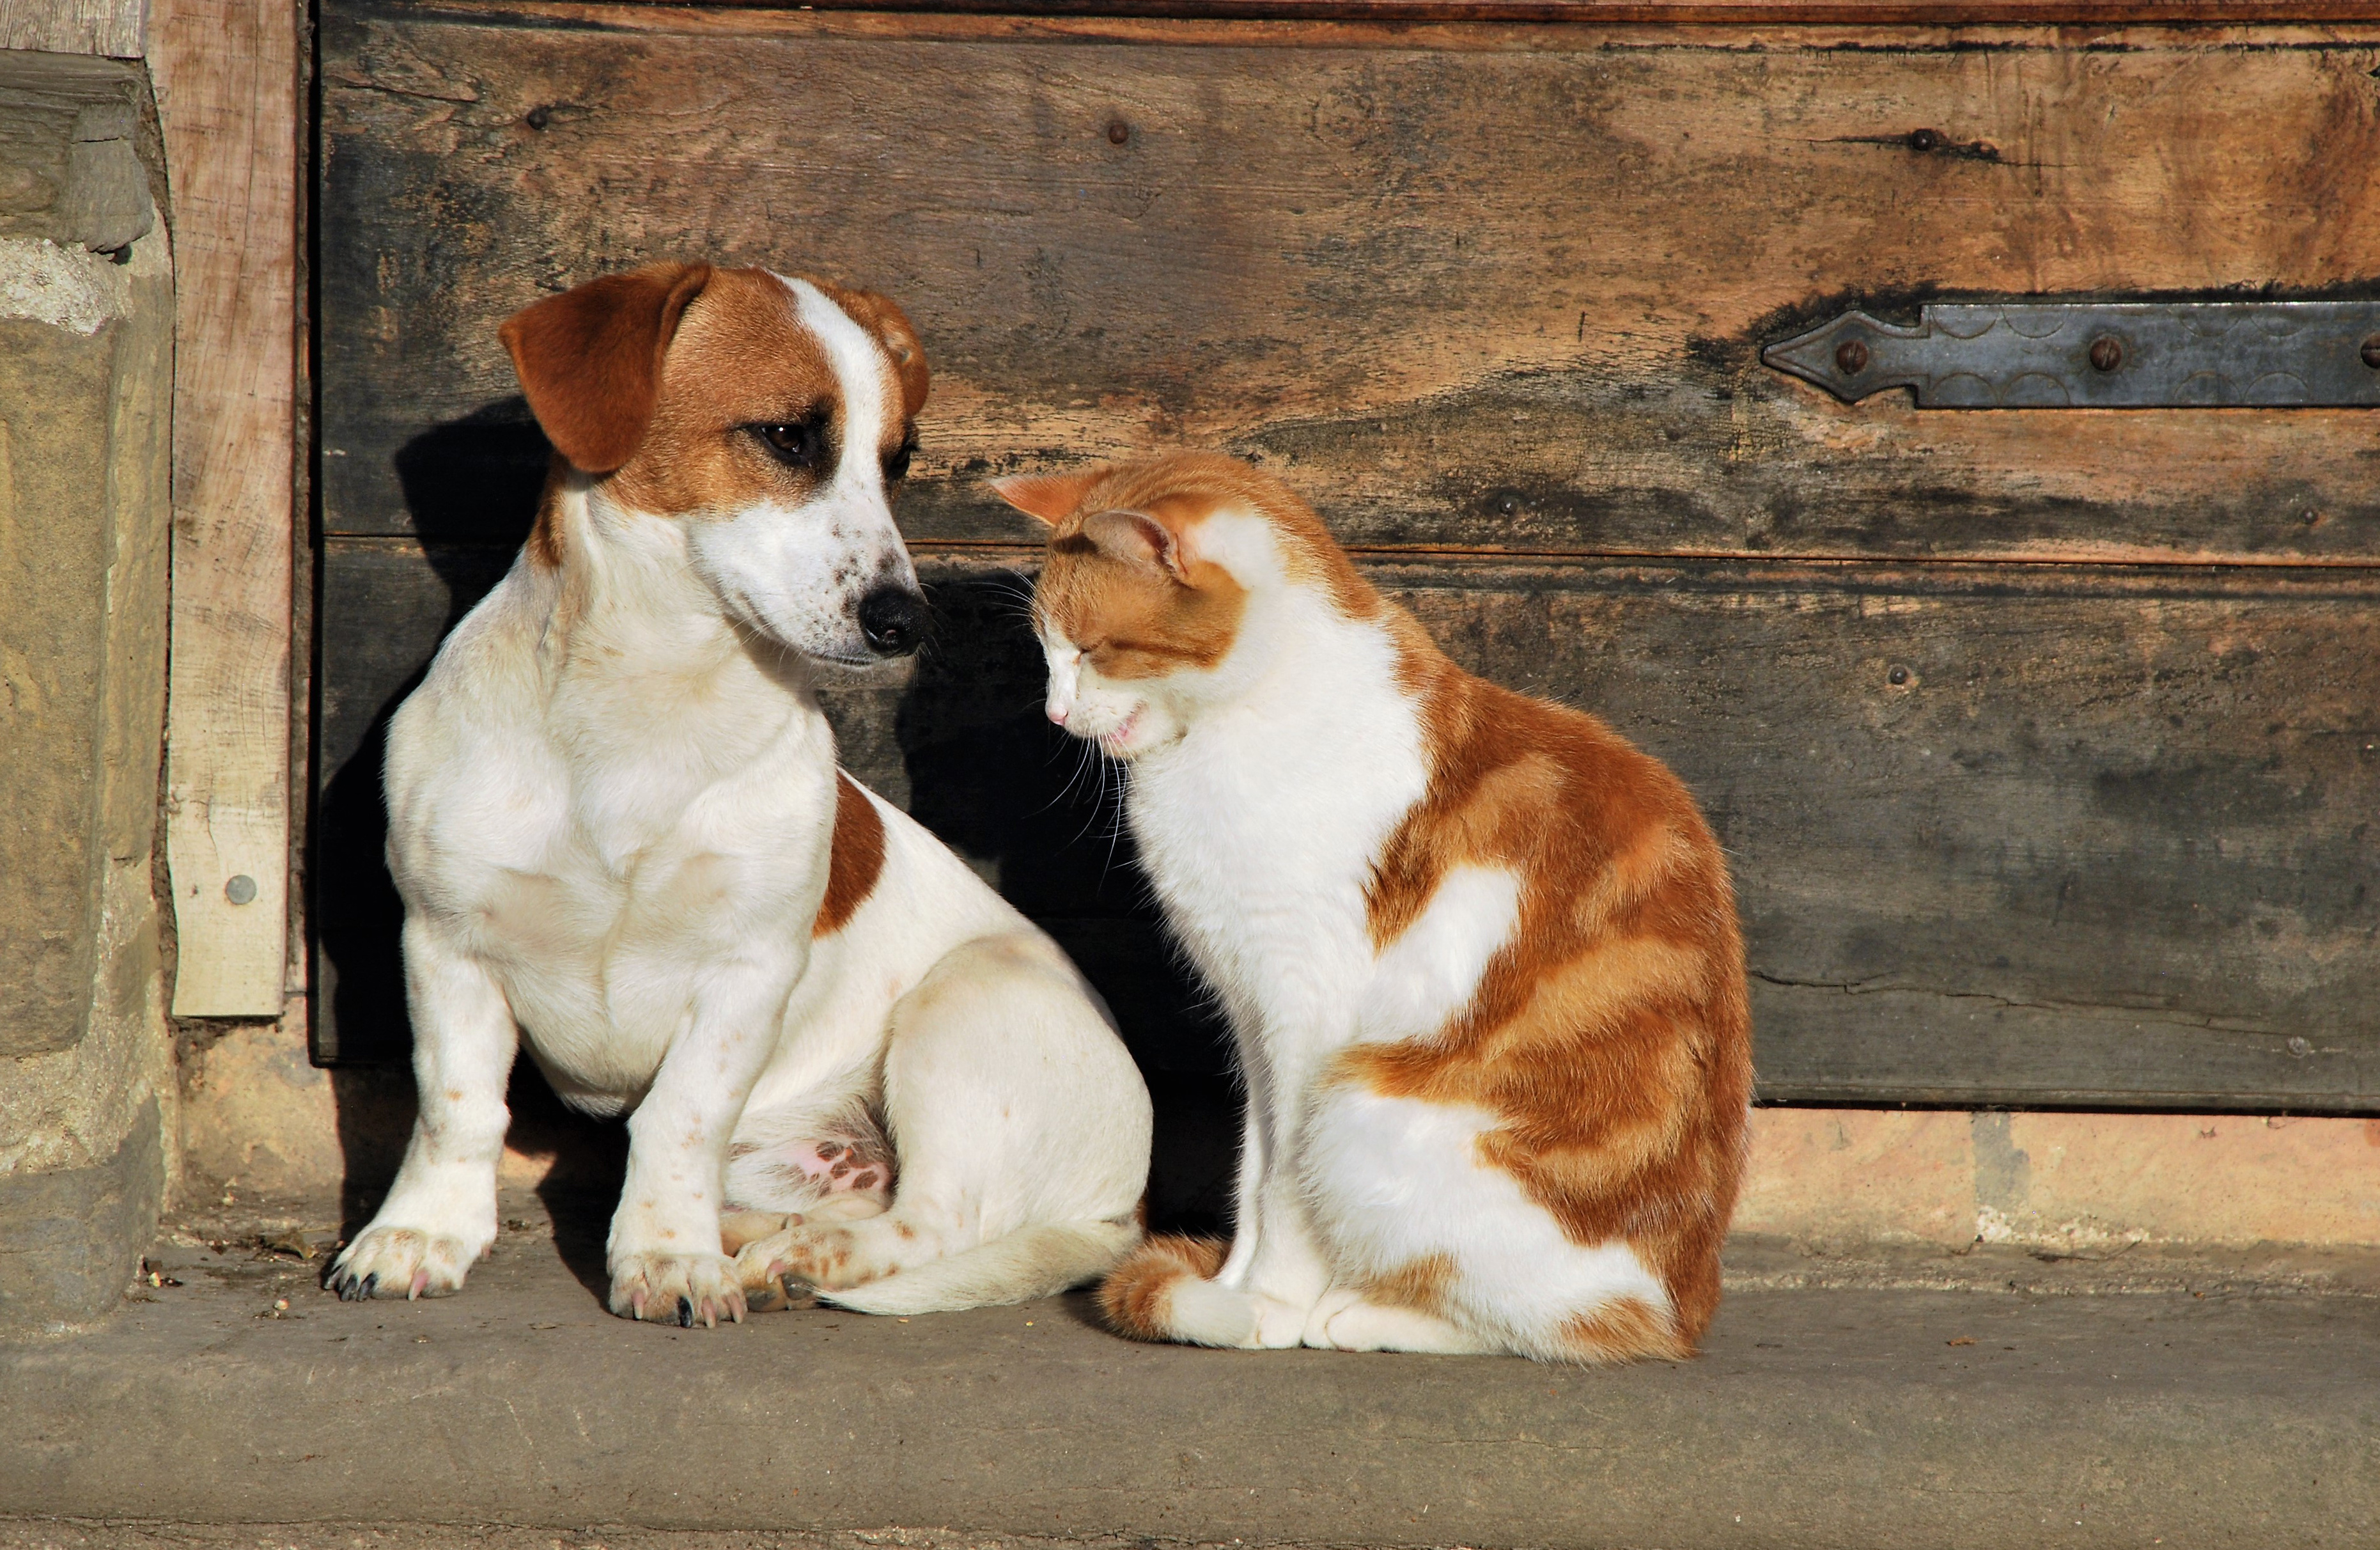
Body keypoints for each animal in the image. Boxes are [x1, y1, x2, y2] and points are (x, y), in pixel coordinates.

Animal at [323, 264, 1151, 1324]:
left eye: (897, 461)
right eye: (787, 436)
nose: (906, 621)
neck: (643, 707)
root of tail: (1123, 1210)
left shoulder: (745, 976)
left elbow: (678, 1116)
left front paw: (668, 1257)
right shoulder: (446, 944)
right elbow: (456, 1106)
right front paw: (424, 1233)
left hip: (959, 1013)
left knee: (934, 1223)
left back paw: (797, 1258)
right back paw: (760, 1239)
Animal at [995, 455, 1761, 1361]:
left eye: (1093, 650)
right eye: (1046, 653)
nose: (1055, 713)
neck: (1232, 729)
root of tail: (1690, 1308)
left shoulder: (1305, 1011)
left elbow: (1286, 1185)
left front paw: (1268, 1306)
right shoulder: (1254, 1013)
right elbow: (1255, 1168)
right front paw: (1236, 1286)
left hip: (1363, 1104)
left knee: (1564, 1323)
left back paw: (1358, 1314)